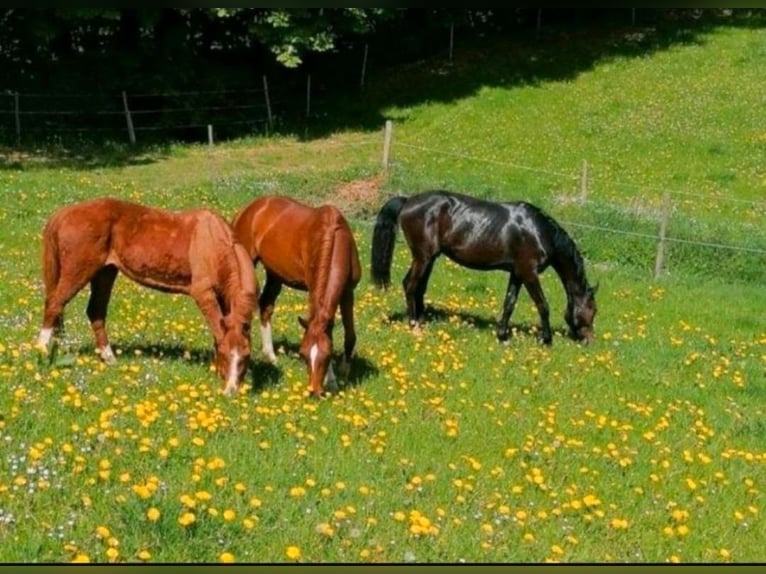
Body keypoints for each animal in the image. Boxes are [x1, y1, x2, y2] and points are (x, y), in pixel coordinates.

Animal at [35, 197, 256, 396]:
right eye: (227, 355)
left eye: (246, 356)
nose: (231, 391)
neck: (213, 242)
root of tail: (63, 213)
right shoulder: (204, 294)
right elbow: (218, 332)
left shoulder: (222, 297)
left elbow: (218, 331)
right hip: (78, 271)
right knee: (55, 304)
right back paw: (41, 351)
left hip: (105, 272)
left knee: (95, 311)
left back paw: (110, 359)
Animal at [231, 195, 361, 397]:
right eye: (303, 354)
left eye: (327, 355)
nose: (314, 391)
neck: (334, 236)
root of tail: (250, 208)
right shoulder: (314, 290)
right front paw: (332, 381)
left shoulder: (348, 291)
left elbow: (350, 334)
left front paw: (344, 372)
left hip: (275, 274)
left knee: (265, 306)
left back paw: (271, 356)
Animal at [371, 190, 598, 344]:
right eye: (593, 310)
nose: (589, 340)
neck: (538, 231)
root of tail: (408, 200)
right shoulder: (529, 273)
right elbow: (543, 305)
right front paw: (546, 340)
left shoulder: (517, 273)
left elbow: (509, 303)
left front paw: (503, 337)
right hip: (423, 257)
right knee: (409, 285)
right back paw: (413, 326)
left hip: (430, 258)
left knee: (419, 288)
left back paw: (422, 322)